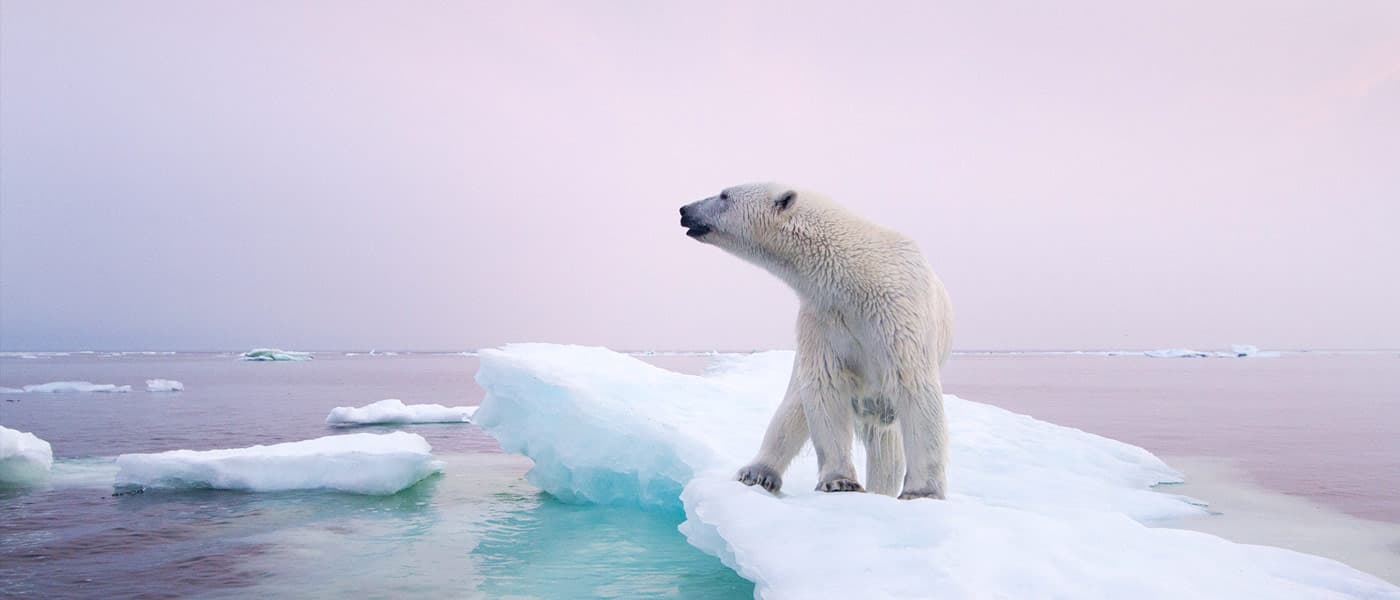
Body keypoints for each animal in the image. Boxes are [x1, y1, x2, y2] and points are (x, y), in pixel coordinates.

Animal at [677, 181, 952, 495]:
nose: (684, 210)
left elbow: (914, 386)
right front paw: (840, 481)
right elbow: (824, 385)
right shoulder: (822, 318)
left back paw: (880, 489)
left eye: (724, 195)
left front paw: (922, 491)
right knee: (794, 407)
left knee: (886, 444)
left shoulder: (897, 314)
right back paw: (757, 473)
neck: (856, 278)